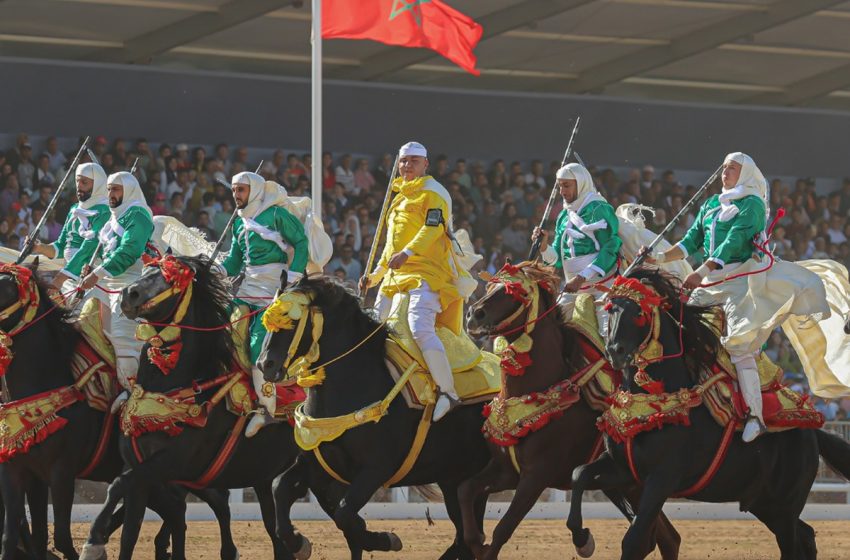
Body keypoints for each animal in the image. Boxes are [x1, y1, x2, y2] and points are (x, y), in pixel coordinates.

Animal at [0, 262, 235, 560]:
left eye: (7, 286)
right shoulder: (20, 472)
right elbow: (19, 536)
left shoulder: (61, 471)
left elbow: (61, 537)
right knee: (176, 509)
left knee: (213, 501)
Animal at [88, 258, 304, 560]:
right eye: (146, 270)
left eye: (169, 278)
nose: (129, 294)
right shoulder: (141, 469)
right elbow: (129, 531)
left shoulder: (170, 464)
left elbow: (120, 484)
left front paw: (94, 538)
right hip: (261, 476)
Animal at [258, 274, 490, 560]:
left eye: (290, 317)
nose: (265, 364)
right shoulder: (318, 466)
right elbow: (280, 490)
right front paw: (298, 543)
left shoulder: (376, 469)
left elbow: (344, 513)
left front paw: (383, 539)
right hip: (452, 479)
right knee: (464, 537)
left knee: (470, 537)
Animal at [458, 262, 684, 560]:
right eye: (492, 284)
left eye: (515, 291)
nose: (474, 314)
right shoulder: (506, 471)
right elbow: (466, 489)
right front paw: (475, 539)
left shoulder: (536, 476)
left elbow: (502, 530)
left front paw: (583, 540)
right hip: (627, 485)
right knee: (667, 538)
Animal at [568, 270, 850, 556]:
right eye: (610, 309)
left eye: (639, 313)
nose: (615, 351)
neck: (652, 404)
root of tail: (813, 432)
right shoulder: (623, 470)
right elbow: (579, 474)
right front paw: (582, 538)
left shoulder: (662, 478)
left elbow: (634, 540)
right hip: (764, 503)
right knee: (806, 536)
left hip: (784, 506)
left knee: (794, 545)